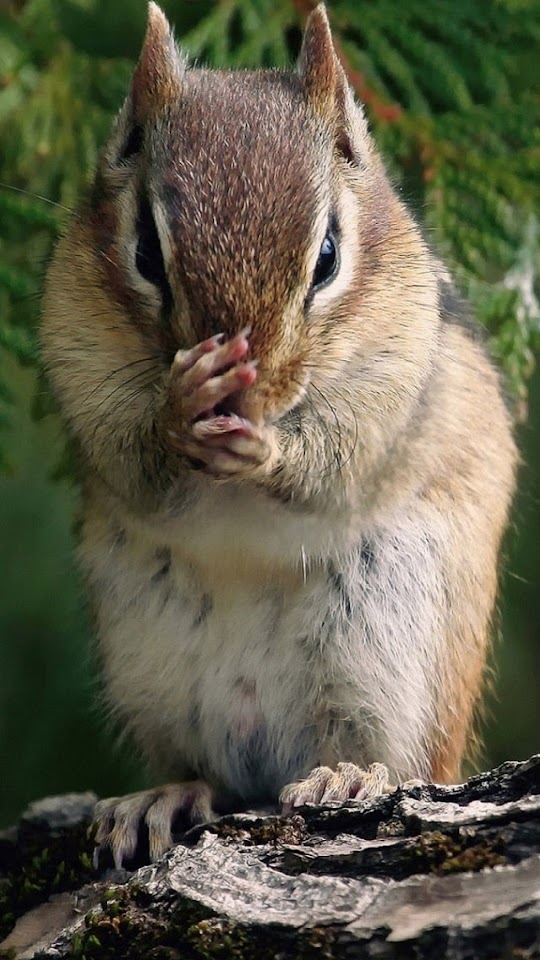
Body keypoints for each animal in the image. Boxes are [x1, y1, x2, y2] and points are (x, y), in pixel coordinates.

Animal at [41, 3, 517, 867]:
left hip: (400, 650)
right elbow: (130, 456)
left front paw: (267, 449)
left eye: (327, 256)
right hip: (149, 659)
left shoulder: (397, 380)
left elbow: (341, 461)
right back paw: (166, 794)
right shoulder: (76, 355)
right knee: (207, 769)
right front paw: (180, 409)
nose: (246, 390)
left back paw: (348, 776)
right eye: (146, 253)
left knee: (399, 758)